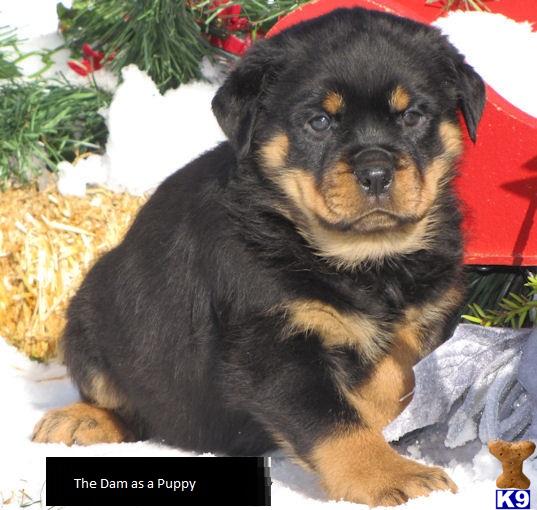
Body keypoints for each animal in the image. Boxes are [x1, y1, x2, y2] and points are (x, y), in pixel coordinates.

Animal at [33, 6, 486, 506]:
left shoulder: (427, 317)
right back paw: (81, 418)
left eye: (412, 116)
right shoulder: (272, 346)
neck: (363, 260)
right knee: (127, 404)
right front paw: (390, 474)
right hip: (90, 318)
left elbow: (393, 380)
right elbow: (335, 422)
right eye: (319, 122)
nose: (375, 173)